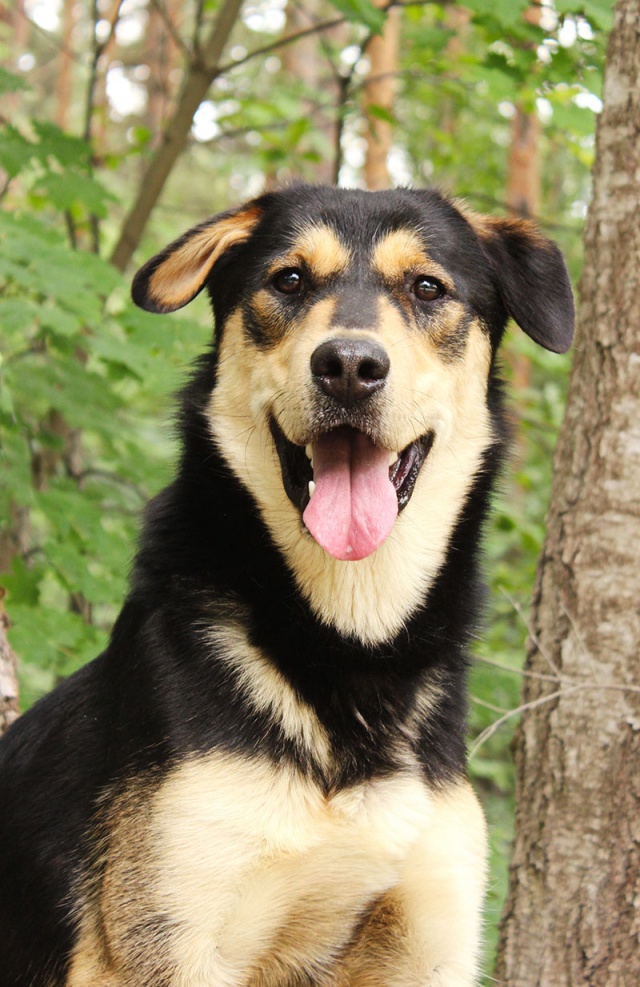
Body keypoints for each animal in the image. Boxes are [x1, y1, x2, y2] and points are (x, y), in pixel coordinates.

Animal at [0, 184, 574, 987]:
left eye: (428, 287)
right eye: (290, 280)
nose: (350, 365)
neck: (351, 648)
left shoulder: (432, 935)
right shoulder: (169, 928)